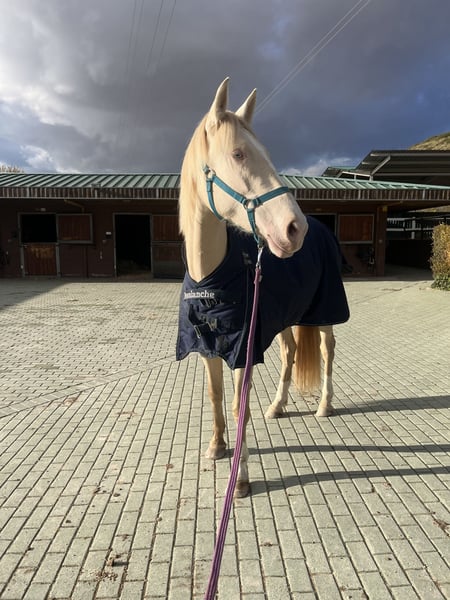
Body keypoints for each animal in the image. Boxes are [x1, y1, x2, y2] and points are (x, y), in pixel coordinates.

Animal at [176, 78, 349, 497]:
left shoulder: (243, 349)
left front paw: (239, 479)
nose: (294, 228)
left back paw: (324, 405)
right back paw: (278, 406)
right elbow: (216, 396)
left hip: (325, 312)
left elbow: (240, 408)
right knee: (289, 354)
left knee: (327, 349)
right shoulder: (208, 346)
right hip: (286, 318)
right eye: (238, 153)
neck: (211, 279)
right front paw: (217, 446)